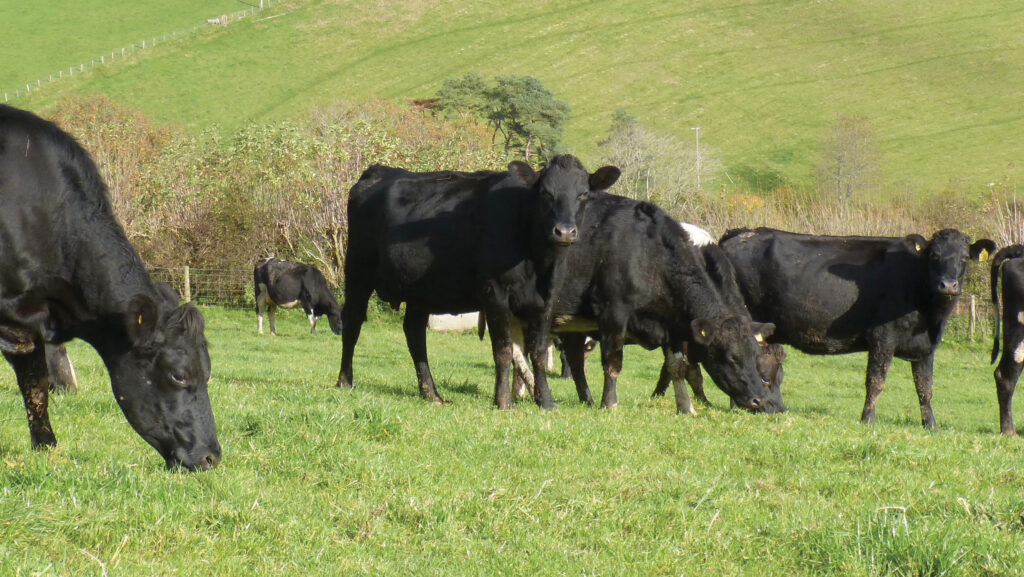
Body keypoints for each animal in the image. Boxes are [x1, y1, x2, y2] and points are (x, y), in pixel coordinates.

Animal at [0, 106, 220, 471]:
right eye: (178, 375)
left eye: (207, 371)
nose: (211, 456)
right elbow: (35, 380)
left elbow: (40, 379)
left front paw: (46, 446)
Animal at [339, 155, 618, 407]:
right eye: (545, 193)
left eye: (583, 194)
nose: (564, 232)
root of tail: (378, 171)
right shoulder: (494, 293)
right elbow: (503, 350)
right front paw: (503, 401)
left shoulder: (546, 301)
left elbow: (538, 352)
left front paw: (546, 402)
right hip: (357, 272)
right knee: (352, 323)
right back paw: (345, 381)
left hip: (421, 289)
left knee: (415, 334)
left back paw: (432, 394)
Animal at [544, 192, 774, 416]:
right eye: (731, 359)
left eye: (755, 356)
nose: (758, 399)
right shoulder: (613, 313)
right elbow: (613, 361)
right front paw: (610, 403)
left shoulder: (674, 324)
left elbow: (677, 367)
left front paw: (686, 407)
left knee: (574, 358)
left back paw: (586, 399)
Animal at [720, 225, 991, 428]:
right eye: (934, 256)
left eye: (964, 258)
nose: (948, 285)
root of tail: (740, 233)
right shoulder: (883, 338)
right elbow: (876, 381)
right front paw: (868, 419)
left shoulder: (926, 346)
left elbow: (925, 388)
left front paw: (930, 425)